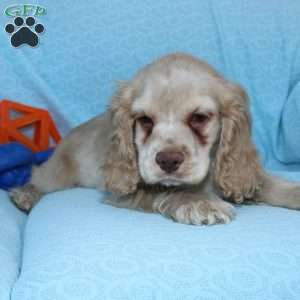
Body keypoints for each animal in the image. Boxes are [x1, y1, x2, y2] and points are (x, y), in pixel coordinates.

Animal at [9, 52, 300, 225]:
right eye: (144, 120)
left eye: (199, 117)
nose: (168, 160)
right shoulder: (124, 192)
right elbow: (166, 191)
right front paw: (199, 202)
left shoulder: (239, 173)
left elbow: (271, 184)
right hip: (58, 173)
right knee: (37, 176)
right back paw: (25, 195)